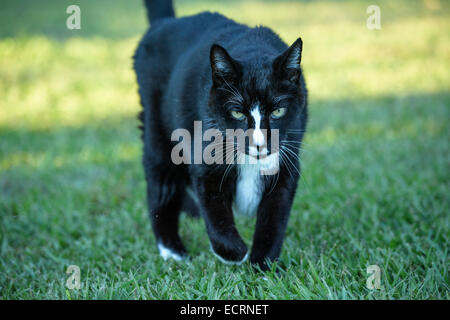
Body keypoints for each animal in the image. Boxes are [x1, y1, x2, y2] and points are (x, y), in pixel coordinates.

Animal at [134, 0, 308, 270]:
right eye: (237, 112)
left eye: (278, 110)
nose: (259, 143)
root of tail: (165, 23)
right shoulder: (205, 155)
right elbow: (214, 208)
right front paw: (234, 252)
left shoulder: (287, 160)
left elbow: (274, 216)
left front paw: (263, 264)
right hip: (157, 129)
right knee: (160, 182)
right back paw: (172, 250)